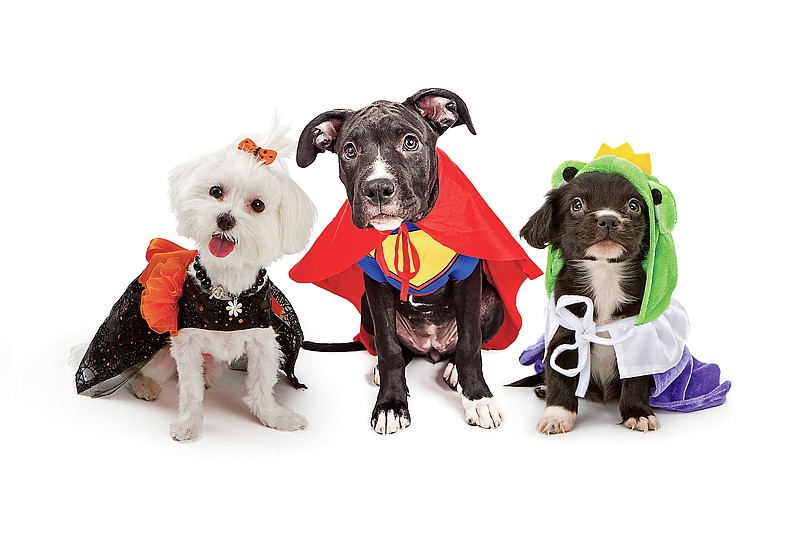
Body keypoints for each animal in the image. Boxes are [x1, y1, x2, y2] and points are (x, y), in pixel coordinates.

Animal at [72, 121, 316, 440]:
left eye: (258, 205)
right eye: (216, 191)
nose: (225, 219)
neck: (227, 295)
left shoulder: (263, 341)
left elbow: (262, 387)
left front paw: (276, 418)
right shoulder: (186, 343)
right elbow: (189, 390)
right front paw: (189, 423)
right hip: (161, 355)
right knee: (136, 373)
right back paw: (145, 386)